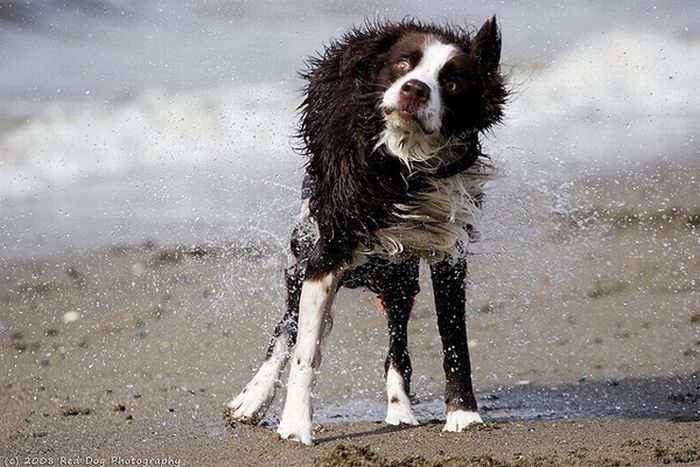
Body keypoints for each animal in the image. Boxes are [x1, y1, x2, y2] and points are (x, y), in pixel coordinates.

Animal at [227, 17, 506, 446]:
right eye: (403, 63)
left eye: (453, 81)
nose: (415, 88)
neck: (404, 165)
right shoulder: (324, 254)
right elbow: (304, 352)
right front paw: (295, 426)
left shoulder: (448, 249)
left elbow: (454, 339)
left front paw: (464, 416)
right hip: (303, 250)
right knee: (286, 328)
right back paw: (252, 398)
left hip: (399, 280)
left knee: (397, 350)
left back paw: (400, 411)